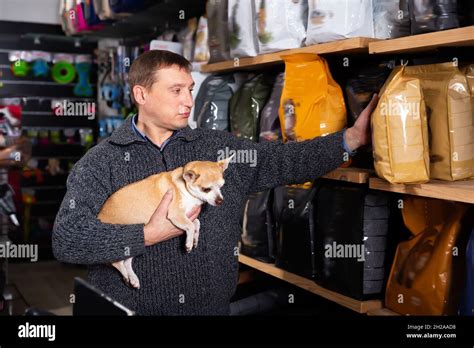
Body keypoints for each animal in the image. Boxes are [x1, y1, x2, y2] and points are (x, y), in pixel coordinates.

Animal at [97, 155, 234, 288]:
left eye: (221, 186)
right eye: (206, 189)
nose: (220, 200)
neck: (184, 187)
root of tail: (99, 216)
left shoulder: (187, 215)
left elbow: (196, 223)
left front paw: (195, 238)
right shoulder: (176, 215)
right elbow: (190, 225)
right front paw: (189, 243)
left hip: (134, 244)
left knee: (126, 262)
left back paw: (133, 278)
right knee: (117, 263)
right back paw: (126, 275)